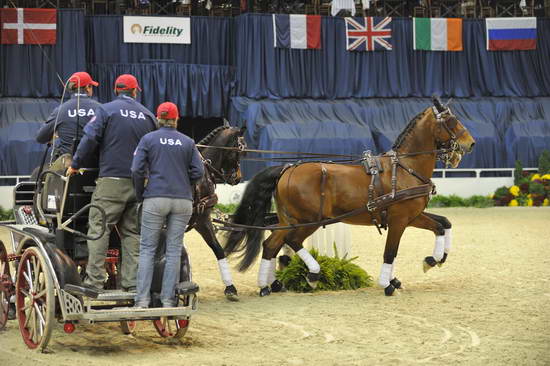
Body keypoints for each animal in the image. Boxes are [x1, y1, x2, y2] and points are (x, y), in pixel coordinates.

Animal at [192, 125, 248, 300]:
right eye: (240, 151)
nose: (238, 178)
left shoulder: (200, 220)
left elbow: (218, 249)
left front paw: (230, 288)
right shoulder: (200, 218)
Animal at [225, 98, 478, 298]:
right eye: (451, 121)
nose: (471, 143)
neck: (406, 167)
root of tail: (287, 169)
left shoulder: (412, 216)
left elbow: (443, 224)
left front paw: (434, 260)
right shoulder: (399, 219)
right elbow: (391, 251)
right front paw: (388, 284)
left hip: (288, 220)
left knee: (271, 245)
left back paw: (267, 285)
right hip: (309, 220)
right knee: (290, 241)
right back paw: (312, 275)